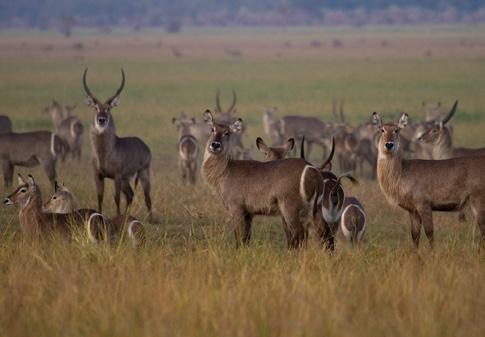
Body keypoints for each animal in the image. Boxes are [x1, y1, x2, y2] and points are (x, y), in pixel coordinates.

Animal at [82, 68, 152, 220]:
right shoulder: (98, 175)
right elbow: (100, 197)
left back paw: (151, 219)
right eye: (96, 108)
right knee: (130, 194)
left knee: (147, 196)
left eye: (108, 108)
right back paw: (127, 215)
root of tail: (144, 144)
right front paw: (100, 215)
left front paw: (117, 216)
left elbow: (116, 197)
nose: (101, 119)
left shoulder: (117, 176)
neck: (104, 154)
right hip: (126, 178)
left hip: (143, 172)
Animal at [201, 109, 332, 247]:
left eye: (227, 133)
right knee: (325, 234)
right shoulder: (249, 214)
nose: (215, 145)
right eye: (212, 129)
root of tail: (311, 169)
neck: (225, 170)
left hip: (290, 207)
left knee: (299, 236)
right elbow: (246, 239)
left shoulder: (236, 208)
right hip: (316, 209)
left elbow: (239, 238)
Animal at [372, 105, 484, 247]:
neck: (402, 172)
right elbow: (415, 236)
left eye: (396, 130)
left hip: (478, 201)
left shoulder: (424, 204)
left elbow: (429, 233)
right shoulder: (412, 210)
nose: (389, 144)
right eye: (382, 129)